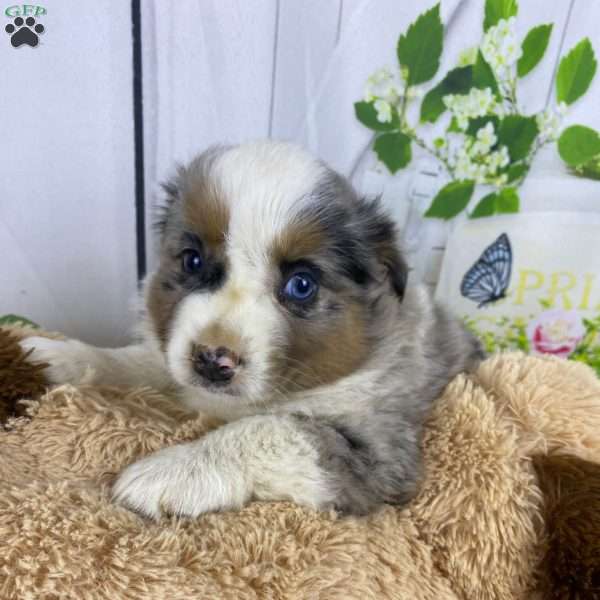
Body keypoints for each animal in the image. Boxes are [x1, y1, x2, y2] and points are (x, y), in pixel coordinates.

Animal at [22, 139, 482, 516]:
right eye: (192, 260)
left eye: (301, 285)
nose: (212, 360)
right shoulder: (173, 363)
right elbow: (134, 361)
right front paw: (58, 355)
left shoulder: (380, 455)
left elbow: (275, 429)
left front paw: (172, 471)